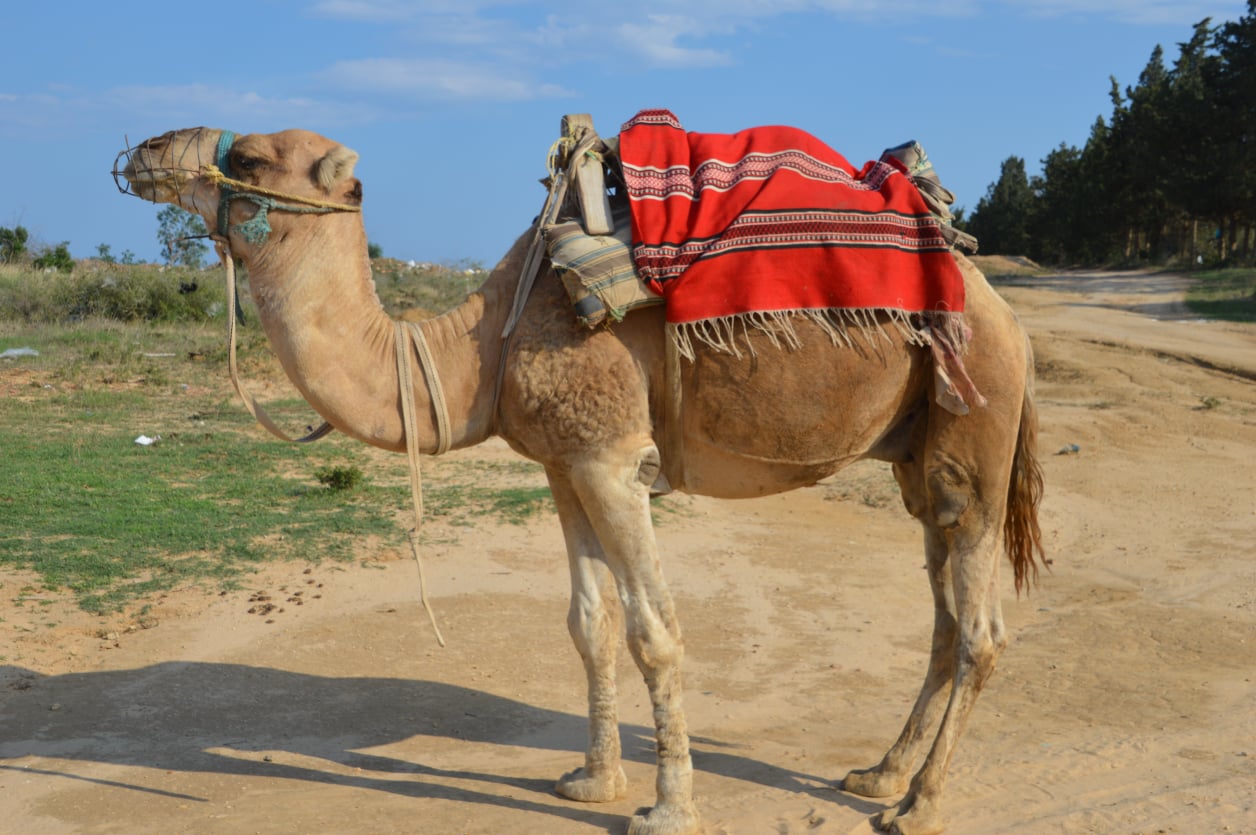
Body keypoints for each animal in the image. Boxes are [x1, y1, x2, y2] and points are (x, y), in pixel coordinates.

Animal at [114, 125, 1045, 835]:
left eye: (248, 156)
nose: (144, 151)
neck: (484, 346)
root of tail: (1006, 312)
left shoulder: (610, 457)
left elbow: (654, 631)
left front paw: (668, 810)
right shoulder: (564, 463)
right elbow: (588, 624)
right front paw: (591, 781)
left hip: (975, 424)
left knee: (981, 627)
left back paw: (920, 804)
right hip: (918, 455)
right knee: (943, 613)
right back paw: (880, 773)